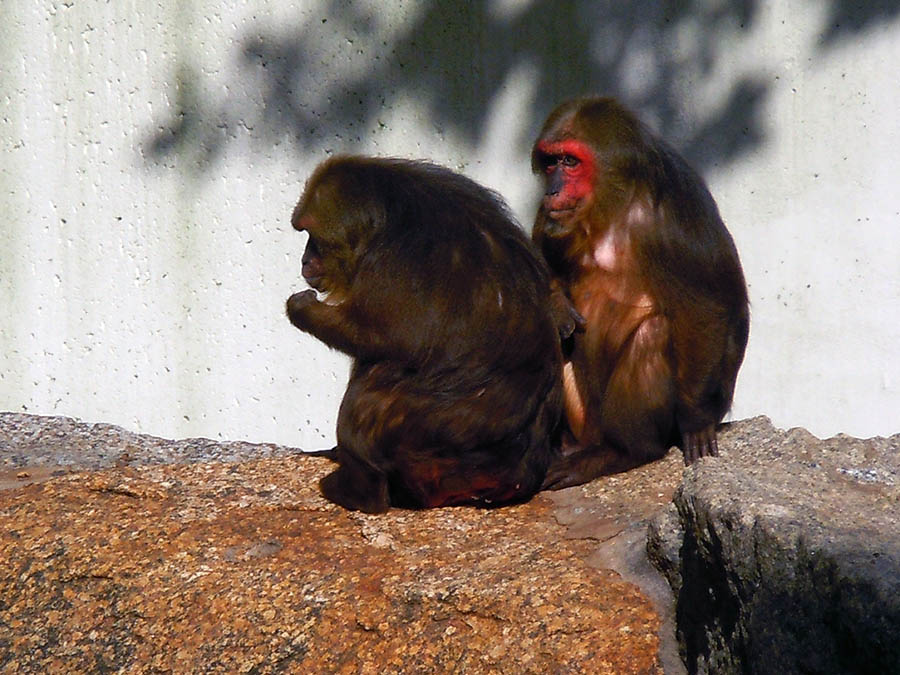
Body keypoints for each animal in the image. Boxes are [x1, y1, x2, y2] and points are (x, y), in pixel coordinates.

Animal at [286, 156, 564, 513]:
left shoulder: (390, 262)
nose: (305, 260)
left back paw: (360, 491)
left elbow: (383, 338)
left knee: (370, 391)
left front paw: (302, 309)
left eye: (312, 236)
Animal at [531, 97, 749, 489]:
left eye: (571, 161)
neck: (613, 204)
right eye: (551, 161)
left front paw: (696, 421)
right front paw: (557, 304)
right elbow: (539, 252)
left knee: (654, 332)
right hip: (581, 418)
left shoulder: (672, 221)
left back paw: (625, 451)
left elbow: (704, 308)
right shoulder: (554, 213)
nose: (552, 189)